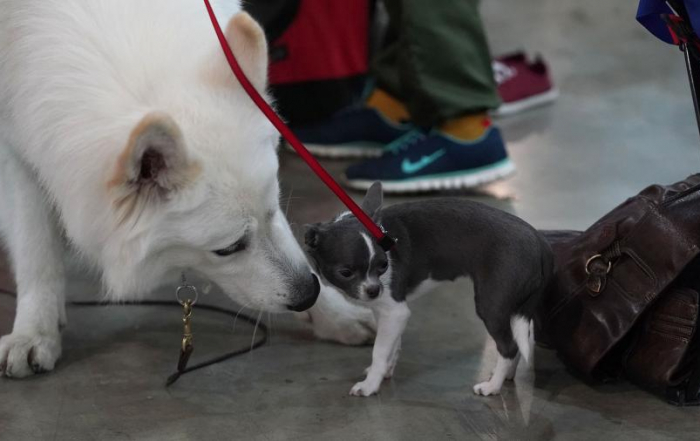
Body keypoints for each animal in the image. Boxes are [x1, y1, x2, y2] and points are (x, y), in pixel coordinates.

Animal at [0, 0, 374, 378]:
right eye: (227, 248)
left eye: (273, 211)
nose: (307, 294)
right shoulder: (15, 149)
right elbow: (36, 250)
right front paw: (34, 332)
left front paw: (336, 315)